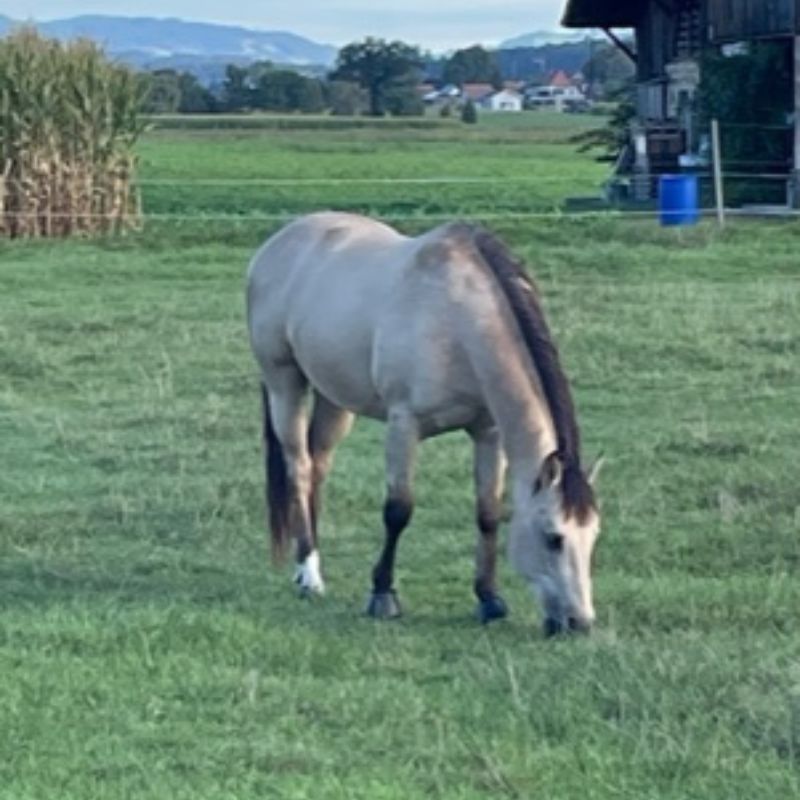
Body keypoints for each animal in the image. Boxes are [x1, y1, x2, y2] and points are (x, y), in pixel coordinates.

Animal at [246, 212, 602, 636]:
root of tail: (280, 241)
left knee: (317, 466)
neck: (457, 320)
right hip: (284, 383)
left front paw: (489, 599)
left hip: (335, 398)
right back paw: (309, 574)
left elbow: (487, 513)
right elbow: (398, 510)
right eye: (553, 538)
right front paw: (383, 595)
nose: (579, 622)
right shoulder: (404, 425)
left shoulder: (488, 433)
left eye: (593, 536)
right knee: (299, 468)